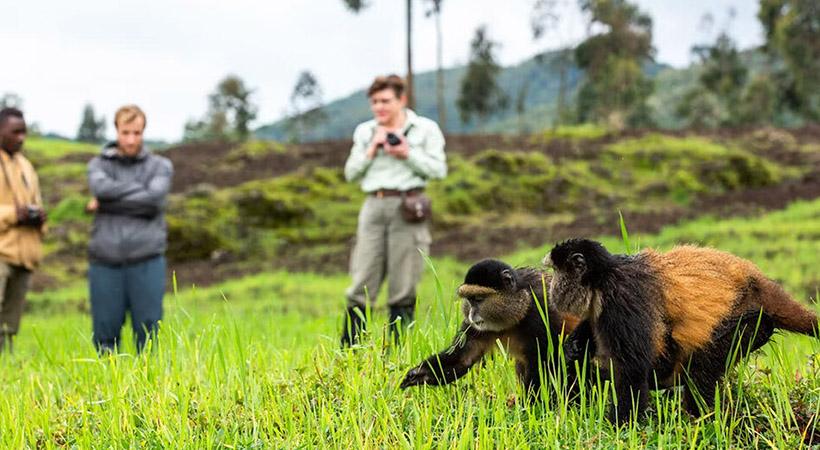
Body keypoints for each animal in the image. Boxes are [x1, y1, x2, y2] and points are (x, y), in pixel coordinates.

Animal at [400, 259, 581, 399]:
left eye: (479, 299)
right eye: (469, 300)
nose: (472, 314)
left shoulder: (541, 311)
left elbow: (546, 361)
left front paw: (531, 405)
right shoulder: (474, 327)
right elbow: (462, 359)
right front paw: (418, 374)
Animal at [545, 238, 819, 424]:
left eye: (557, 272)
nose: (552, 288)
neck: (603, 276)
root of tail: (757, 282)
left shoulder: (621, 298)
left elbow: (632, 371)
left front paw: (618, 427)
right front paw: (574, 345)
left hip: (751, 322)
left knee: (700, 369)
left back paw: (702, 420)